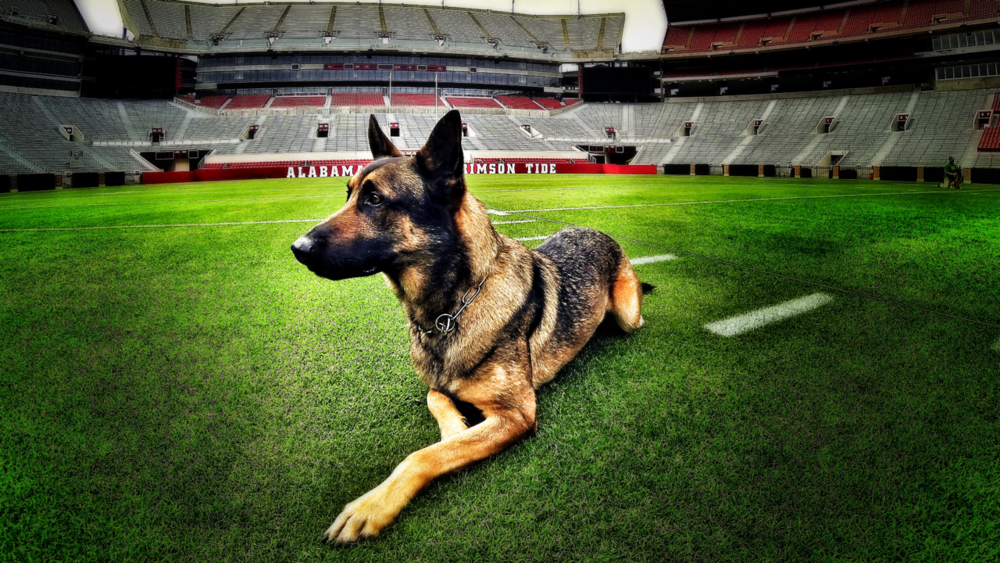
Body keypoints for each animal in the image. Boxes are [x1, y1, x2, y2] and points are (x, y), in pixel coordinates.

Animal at [292, 110, 648, 548]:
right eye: (348, 195)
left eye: (375, 200)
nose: (297, 248)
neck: (451, 309)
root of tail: (598, 232)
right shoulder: (438, 385)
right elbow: (438, 401)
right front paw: (455, 430)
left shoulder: (516, 414)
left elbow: (421, 455)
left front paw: (372, 505)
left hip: (628, 313)